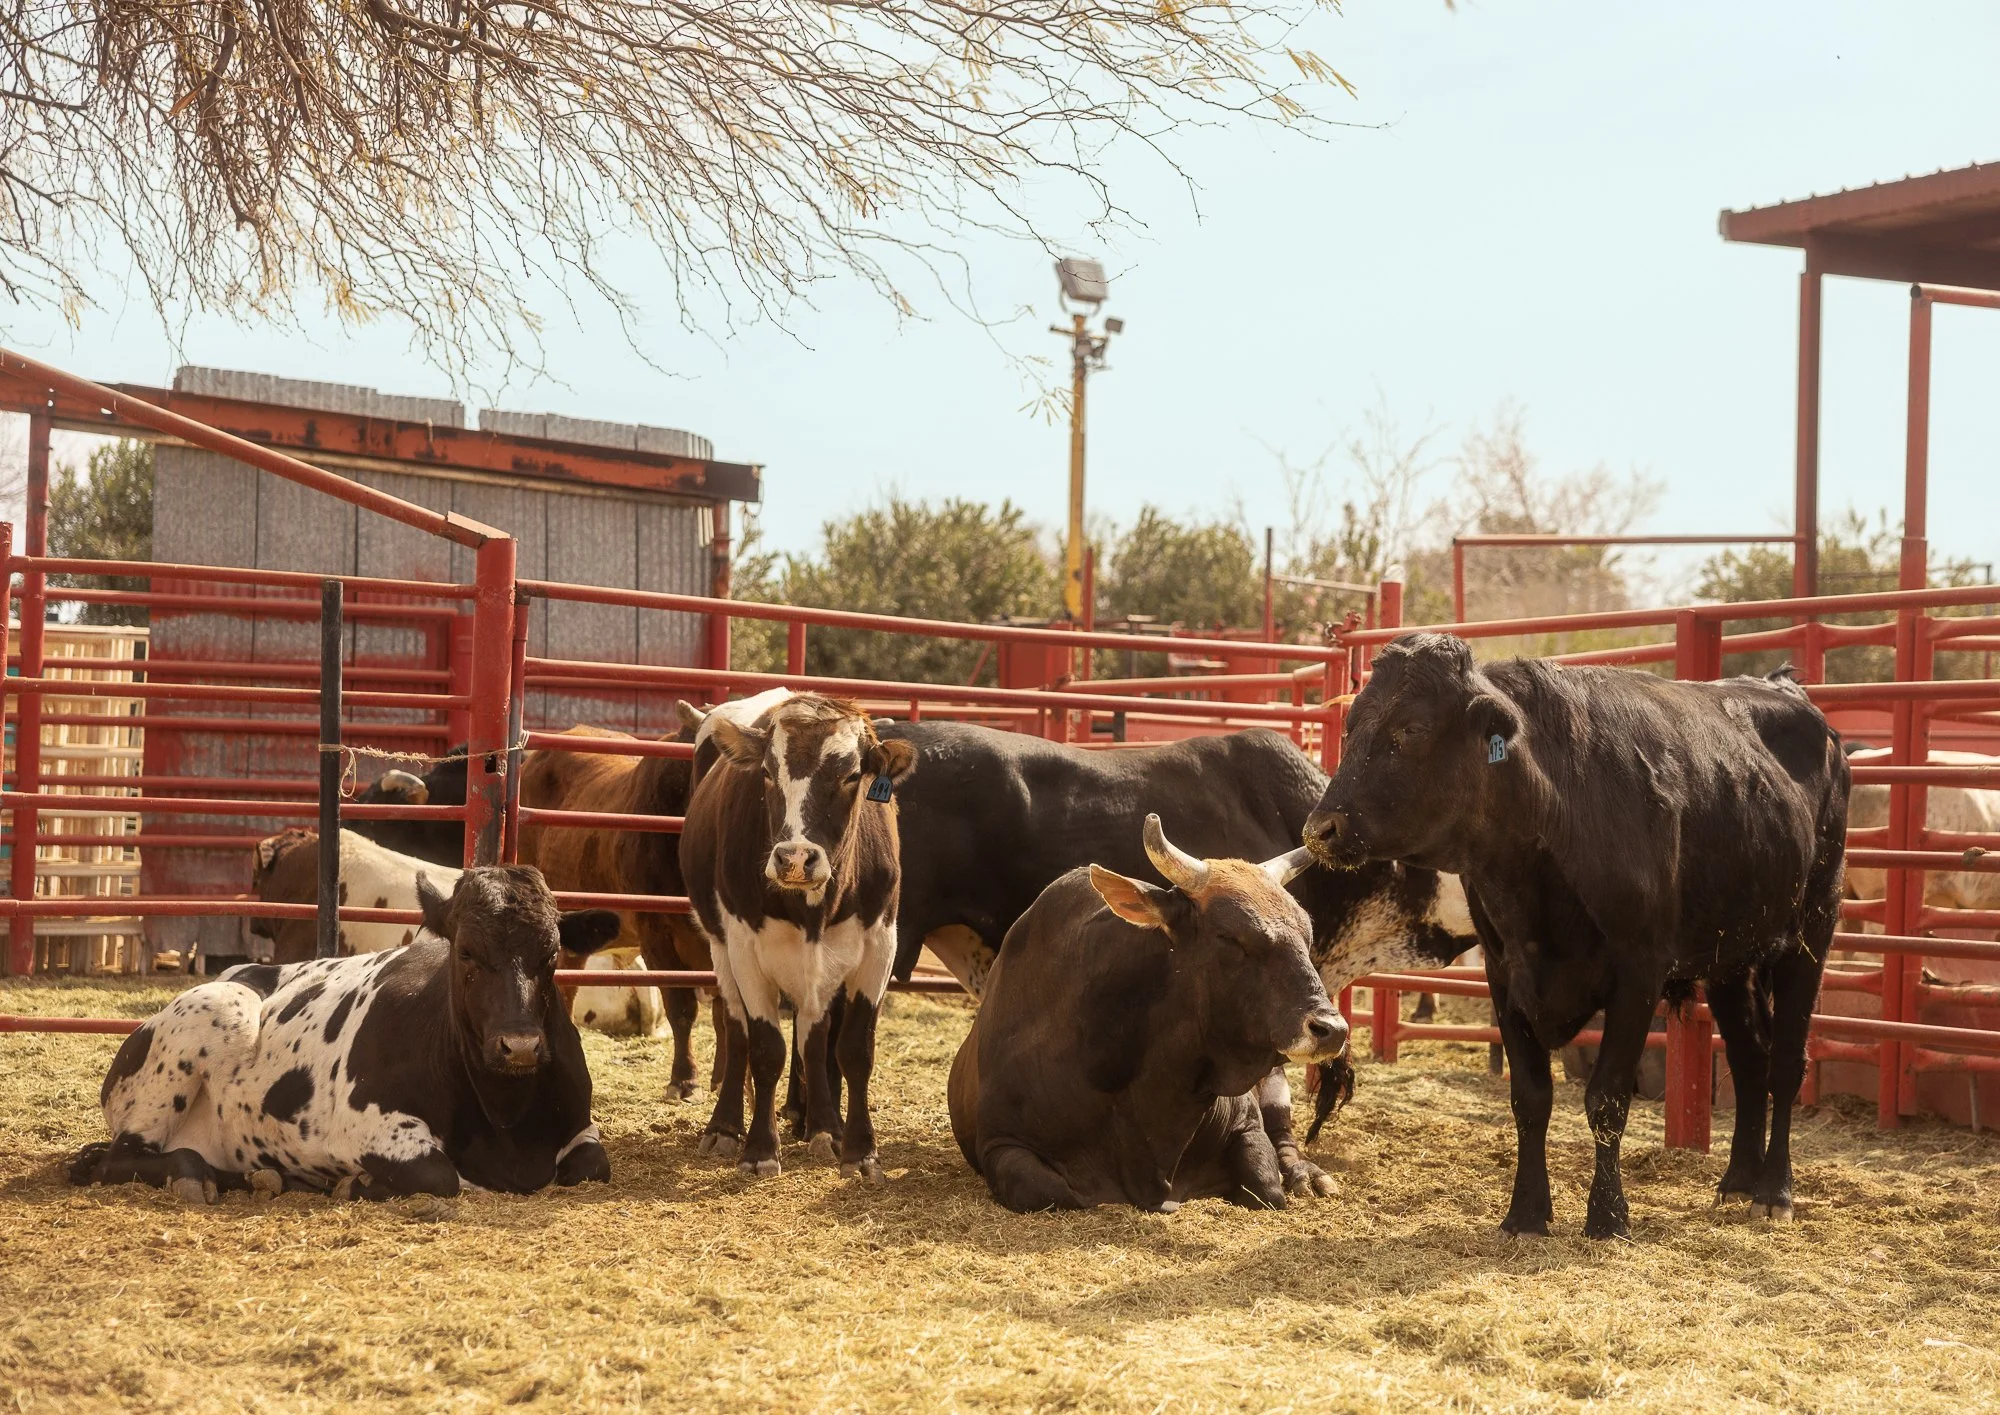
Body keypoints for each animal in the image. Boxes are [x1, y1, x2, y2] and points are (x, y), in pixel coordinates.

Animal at [70, 867, 622, 1201]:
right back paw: (194, 1174)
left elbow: (595, 1164)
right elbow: (439, 1175)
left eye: (551, 955)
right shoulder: (365, 1126)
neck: (503, 1113)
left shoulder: (581, 1128)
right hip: (221, 1011)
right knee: (117, 1161)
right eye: (466, 951)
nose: (520, 1045)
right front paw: (355, 1183)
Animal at [679, 693, 917, 1181]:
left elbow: (852, 1049)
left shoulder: (881, 945)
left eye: (851, 775)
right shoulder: (744, 947)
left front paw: (859, 1150)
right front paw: (759, 1149)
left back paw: (825, 1127)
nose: (794, 858)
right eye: (768, 773)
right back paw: (726, 1127)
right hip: (719, 946)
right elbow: (766, 1048)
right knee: (735, 1028)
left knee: (814, 1032)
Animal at [947, 815, 1349, 1212]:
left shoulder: (1248, 1126)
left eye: (1307, 935)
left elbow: (1267, 1188)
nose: (1333, 1029)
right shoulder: (1002, 1144)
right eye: (1230, 937)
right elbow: (1048, 1192)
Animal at [1305, 635, 1849, 1238]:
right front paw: (1526, 1212)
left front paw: (1607, 1217)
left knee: (1785, 1063)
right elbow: (1530, 1097)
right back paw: (1737, 1182)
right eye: (1351, 727)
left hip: (1811, 928)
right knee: (1750, 1058)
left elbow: (1606, 1098)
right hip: (1732, 957)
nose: (1321, 829)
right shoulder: (1504, 973)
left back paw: (1774, 1189)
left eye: (1410, 730)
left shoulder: (1639, 974)